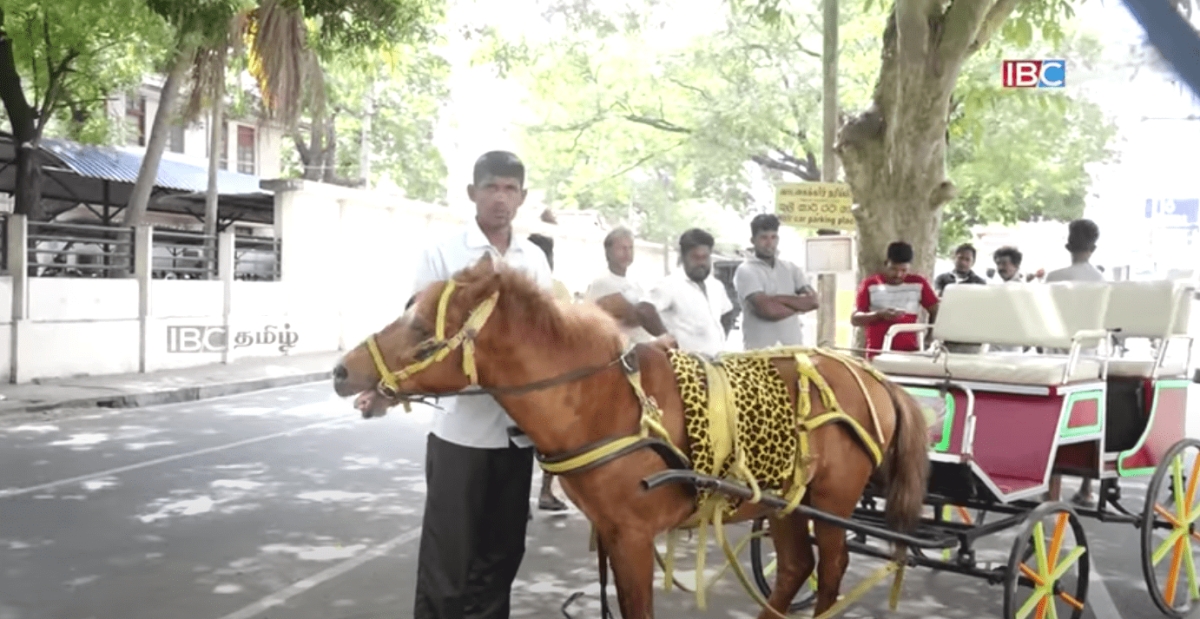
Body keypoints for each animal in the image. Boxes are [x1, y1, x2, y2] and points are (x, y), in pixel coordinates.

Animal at [333, 256, 931, 619]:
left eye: (420, 329)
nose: (341, 371)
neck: (601, 399)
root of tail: (876, 378)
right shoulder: (612, 532)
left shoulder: (634, 536)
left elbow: (637, 608)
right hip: (784, 499)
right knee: (794, 568)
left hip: (831, 502)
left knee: (830, 573)